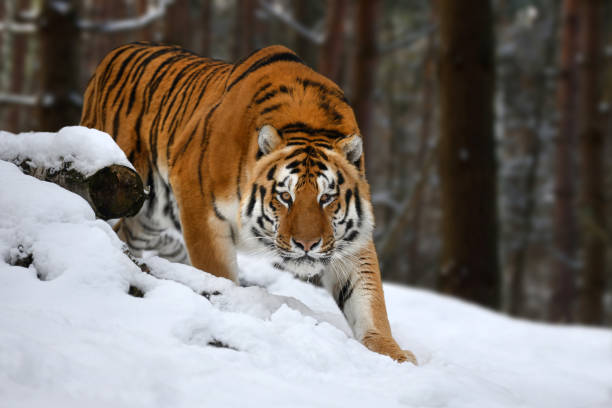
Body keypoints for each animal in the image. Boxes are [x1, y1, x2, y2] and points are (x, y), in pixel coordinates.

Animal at [81, 42, 416, 364]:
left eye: (326, 198)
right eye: (285, 196)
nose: (306, 245)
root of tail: (113, 54)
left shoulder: (350, 238)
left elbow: (367, 296)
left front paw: (393, 352)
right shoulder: (199, 205)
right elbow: (217, 271)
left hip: (143, 212)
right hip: (114, 182)